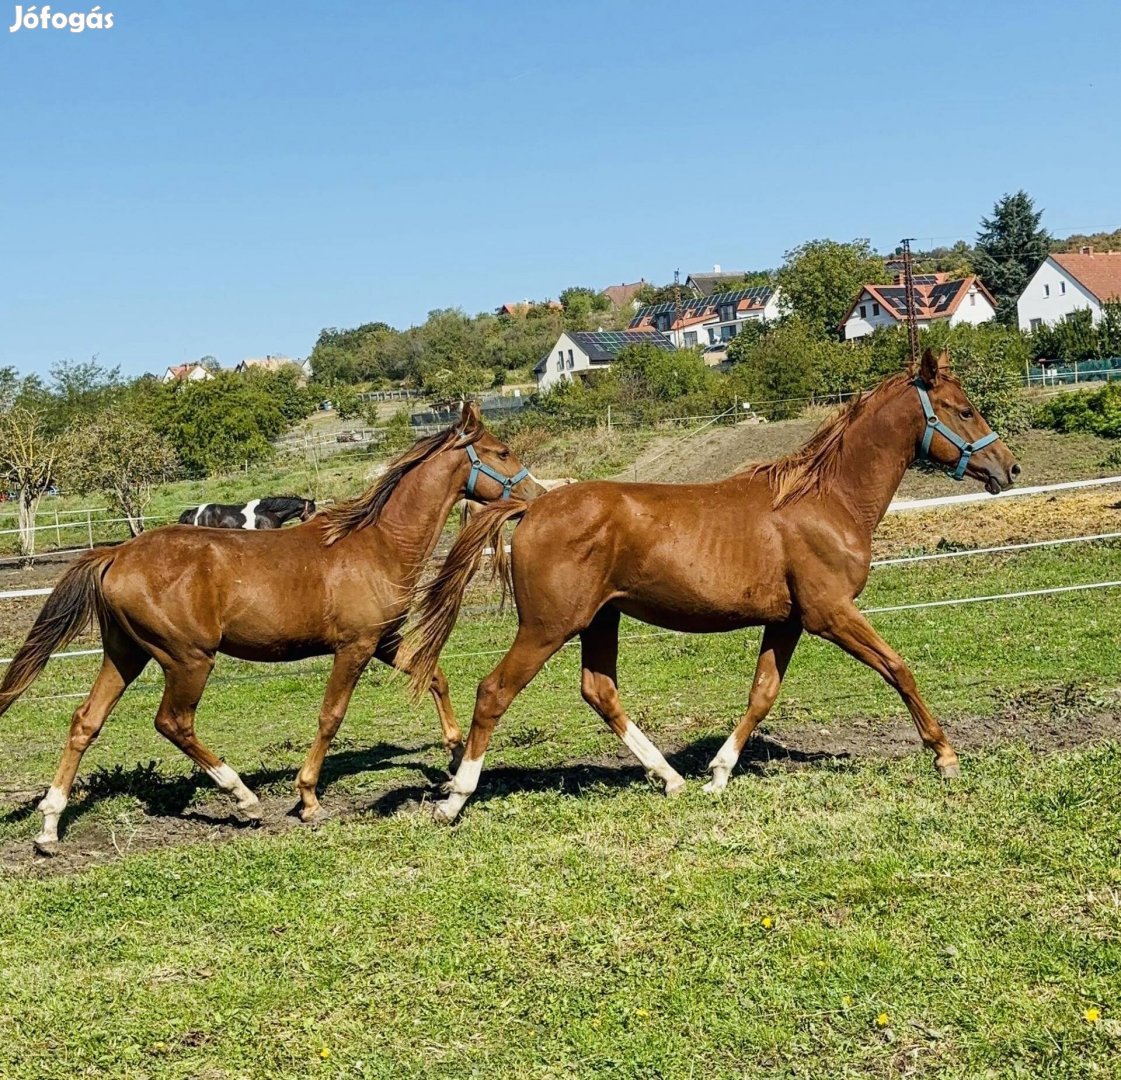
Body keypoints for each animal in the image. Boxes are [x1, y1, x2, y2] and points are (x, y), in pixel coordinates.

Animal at [0, 405, 542, 852]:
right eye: (501, 452)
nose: (537, 496)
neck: (378, 544)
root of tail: (115, 553)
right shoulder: (354, 647)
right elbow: (331, 716)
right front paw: (309, 800)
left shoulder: (383, 641)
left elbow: (434, 677)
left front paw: (454, 757)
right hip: (188, 659)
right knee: (173, 722)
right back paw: (244, 799)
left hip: (126, 654)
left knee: (85, 722)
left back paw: (49, 828)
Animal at [401, 349, 1017, 825]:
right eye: (964, 409)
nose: (1008, 468)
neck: (826, 501)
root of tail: (531, 507)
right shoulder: (831, 614)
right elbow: (897, 667)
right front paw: (944, 755)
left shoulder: (787, 622)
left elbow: (762, 694)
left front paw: (717, 774)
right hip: (547, 627)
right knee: (494, 691)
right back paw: (455, 799)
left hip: (599, 621)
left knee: (599, 691)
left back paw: (670, 778)